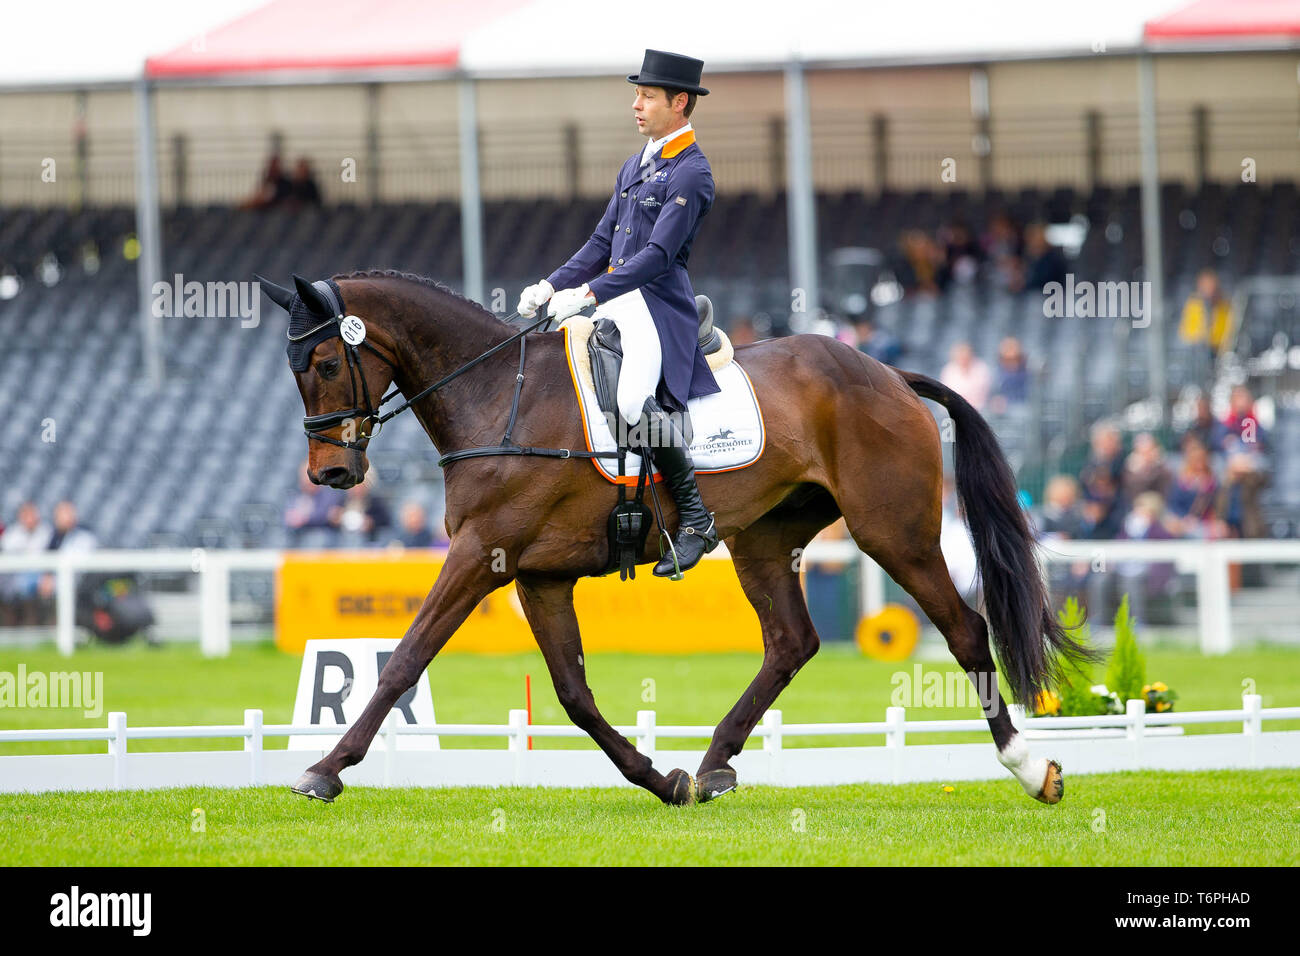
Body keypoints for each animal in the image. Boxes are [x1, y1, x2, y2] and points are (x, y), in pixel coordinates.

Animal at [260, 269, 1093, 806]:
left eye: (327, 362)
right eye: (295, 368)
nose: (330, 472)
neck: (499, 394)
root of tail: (886, 373)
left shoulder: (479, 556)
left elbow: (403, 662)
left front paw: (325, 769)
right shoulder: (538, 576)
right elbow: (573, 694)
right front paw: (660, 779)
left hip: (896, 534)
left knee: (966, 631)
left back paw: (1030, 769)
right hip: (763, 538)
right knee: (791, 643)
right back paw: (714, 765)